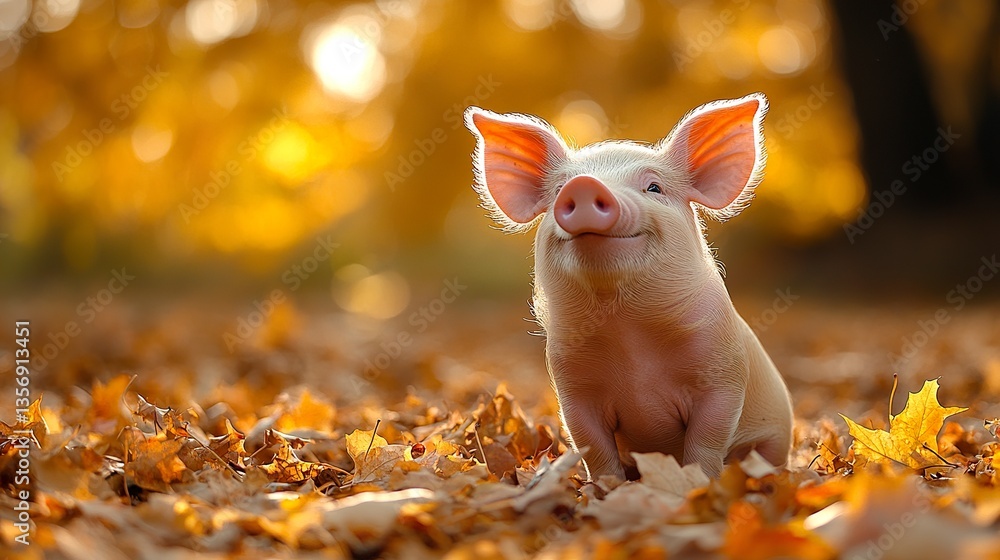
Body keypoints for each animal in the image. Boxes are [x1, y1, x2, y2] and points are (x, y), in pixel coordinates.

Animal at [464, 93, 793, 480]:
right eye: (560, 188)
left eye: (654, 187)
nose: (583, 185)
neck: (628, 332)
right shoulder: (572, 389)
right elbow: (594, 450)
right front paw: (606, 488)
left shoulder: (723, 375)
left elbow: (706, 442)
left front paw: (693, 482)